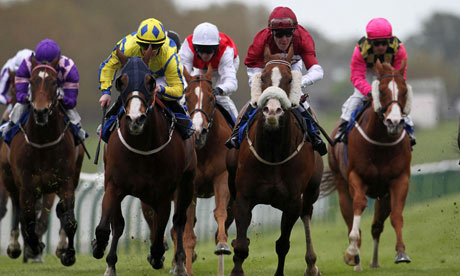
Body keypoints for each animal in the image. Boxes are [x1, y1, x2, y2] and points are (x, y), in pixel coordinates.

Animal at [0, 54, 84, 266]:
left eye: (54, 82)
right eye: (31, 81)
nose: (40, 111)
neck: (43, 142)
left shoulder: (63, 183)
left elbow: (68, 219)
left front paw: (68, 253)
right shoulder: (26, 186)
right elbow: (28, 221)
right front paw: (33, 247)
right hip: (9, 179)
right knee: (17, 210)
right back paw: (16, 246)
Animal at [92, 48, 195, 276]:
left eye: (150, 81)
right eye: (120, 82)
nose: (135, 119)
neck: (141, 148)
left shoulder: (164, 193)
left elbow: (161, 233)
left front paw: (157, 256)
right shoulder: (113, 185)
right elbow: (109, 226)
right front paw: (102, 252)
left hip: (186, 183)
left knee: (179, 221)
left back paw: (180, 263)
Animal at [167, 66, 234, 274]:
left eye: (211, 97)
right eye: (187, 97)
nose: (198, 131)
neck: (204, 149)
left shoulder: (222, 177)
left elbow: (220, 213)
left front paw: (222, 244)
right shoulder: (190, 187)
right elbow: (187, 233)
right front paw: (185, 268)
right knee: (176, 228)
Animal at [226, 44, 324, 276]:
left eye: (289, 79)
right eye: (263, 77)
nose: (272, 110)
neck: (272, 151)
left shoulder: (292, 202)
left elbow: (283, 244)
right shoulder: (243, 197)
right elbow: (241, 245)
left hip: (312, 192)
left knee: (307, 215)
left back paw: (311, 265)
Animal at [328, 60, 414, 272]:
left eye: (404, 91)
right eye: (381, 91)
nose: (394, 122)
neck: (380, 143)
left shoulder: (399, 180)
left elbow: (396, 215)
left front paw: (401, 252)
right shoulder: (356, 177)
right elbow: (358, 207)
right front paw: (351, 252)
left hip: (382, 195)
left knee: (376, 226)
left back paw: (374, 261)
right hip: (341, 185)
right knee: (350, 218)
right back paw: (356, 259)